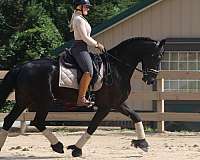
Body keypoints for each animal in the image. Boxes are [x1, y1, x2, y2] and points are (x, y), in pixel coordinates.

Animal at [0, 37, 165, 156]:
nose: (150, 79)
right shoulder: (105, 107)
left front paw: (142, 143)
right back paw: (58, 146)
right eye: (156, 56)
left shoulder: (117, 104)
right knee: (37, 121)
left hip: (23, 101)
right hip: (44, 101)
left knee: (9, 120)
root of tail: (22, 67)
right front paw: (76, 149)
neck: (117, 68)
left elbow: (136, 116)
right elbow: (92, 126)